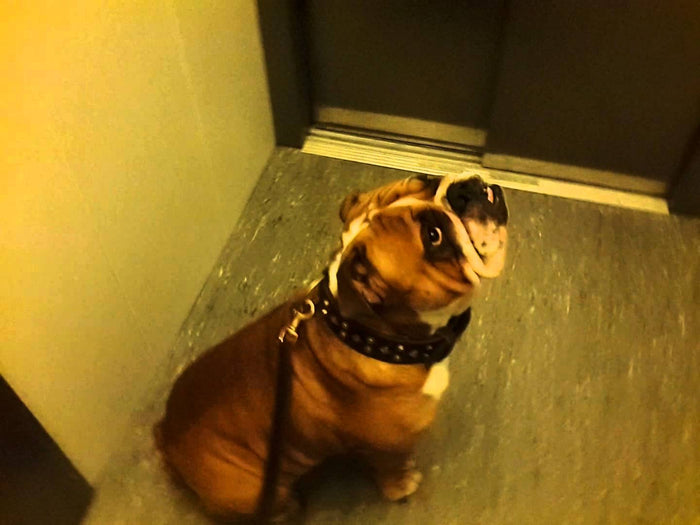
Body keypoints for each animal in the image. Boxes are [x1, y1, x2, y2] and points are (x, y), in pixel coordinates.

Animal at [155, 173, 508, 520]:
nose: (464, 190)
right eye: (433, 236)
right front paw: (401, 484)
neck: (378, 337)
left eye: (426, 179)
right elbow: (390, 468)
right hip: (252, 490)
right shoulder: (386, 448)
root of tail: (167, 439)